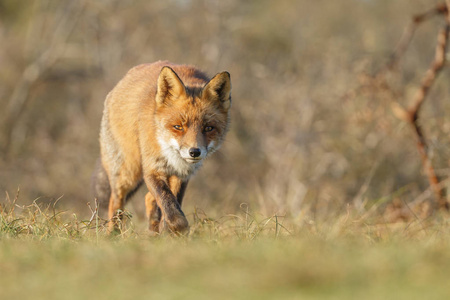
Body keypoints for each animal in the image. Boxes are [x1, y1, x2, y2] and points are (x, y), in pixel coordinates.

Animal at [91, 61, 232, 234]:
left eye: (208, 128)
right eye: (178, 127)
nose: (194, 152)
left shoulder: (182, 173)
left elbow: (172, 202)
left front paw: (168, 230)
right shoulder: (152, 168)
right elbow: (168, 202)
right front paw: (176, 229)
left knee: (148, 199)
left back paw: (153, 232)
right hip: (128, 172)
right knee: (116, 201)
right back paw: (114, 233)